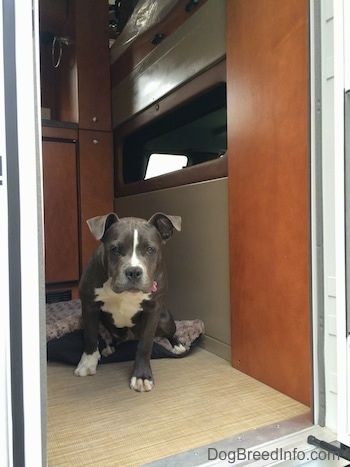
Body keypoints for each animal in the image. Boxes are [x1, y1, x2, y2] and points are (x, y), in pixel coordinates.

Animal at [74, 212, 186, 392]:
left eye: (150, 250)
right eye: (114, 249)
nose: (133, 271)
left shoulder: (153, 311)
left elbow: (145, 345)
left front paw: (142, 377)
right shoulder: (89, 305)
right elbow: (90, 336)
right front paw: (87, 364)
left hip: (165, 319)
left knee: (170, 333)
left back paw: (177, 345)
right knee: (114, 337)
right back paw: (109, 347)